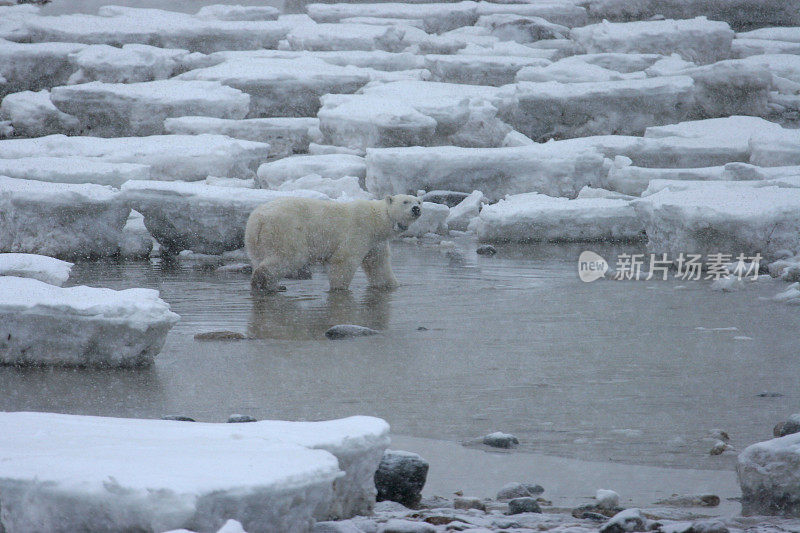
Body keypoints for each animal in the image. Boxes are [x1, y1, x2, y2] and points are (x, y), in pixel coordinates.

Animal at [244, 194, 422, 294]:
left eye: (419, 201)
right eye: (405, 201)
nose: (416, 209)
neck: (377, 220)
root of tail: (259, 220)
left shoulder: (375, 242)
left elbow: (378, 265)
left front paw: (392, 285)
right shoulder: (359, 230)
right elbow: (344, 260)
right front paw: (340, 288)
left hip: (254, 239)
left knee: (260, 258)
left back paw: (273, 285)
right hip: (286, 230)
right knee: (290, 257)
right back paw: (262, 281)